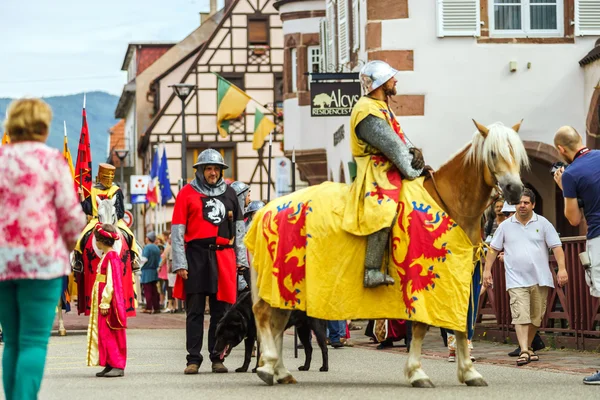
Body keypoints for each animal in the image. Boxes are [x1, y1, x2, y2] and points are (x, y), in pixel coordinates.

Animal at [246, 119, 528, 388]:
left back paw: (280, 371)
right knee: (263, 315)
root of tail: (265, 211)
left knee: (277, 321)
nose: (514, 190)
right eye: (493, 153)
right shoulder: (422, 283)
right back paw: (266, 366)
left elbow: (459, 325)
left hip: (285, 288)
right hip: (279, 278)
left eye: (517, 152)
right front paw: (417, 373)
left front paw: (469, 372)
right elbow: (421, 326)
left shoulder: (462, 280)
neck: (449, 204)